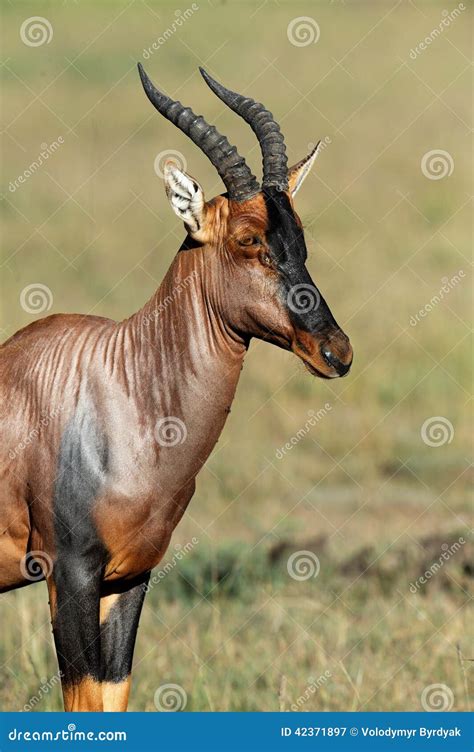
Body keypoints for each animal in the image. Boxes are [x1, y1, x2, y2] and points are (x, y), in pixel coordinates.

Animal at [0, 66, 352, 712]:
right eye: (247, 239)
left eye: (300, 235)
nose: (336, 351)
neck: (123, 386)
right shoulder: (70, 574)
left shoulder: (129, 578)